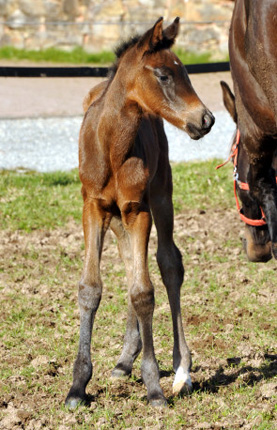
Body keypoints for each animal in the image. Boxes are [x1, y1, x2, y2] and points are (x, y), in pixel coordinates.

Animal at [64, 16, 213, 408]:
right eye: (163, 75)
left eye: (186, 72)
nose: (206, 119)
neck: (112, 145)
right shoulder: (93, 207)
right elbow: (91, 288)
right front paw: (78, 385)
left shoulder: (138, 209)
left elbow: (144, 291)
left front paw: (154, 387)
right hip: (117, 219)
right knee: (132, 262)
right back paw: (123, 360)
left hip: (160, 195)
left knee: (168, 263)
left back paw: (180, 368)